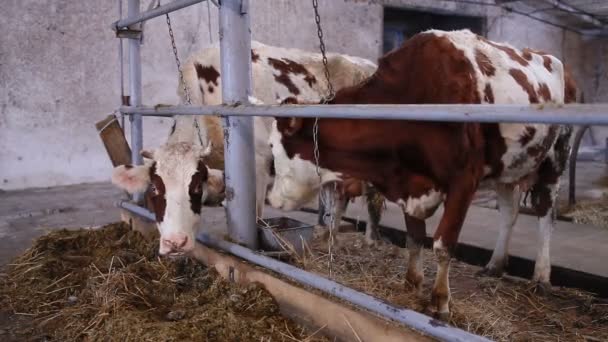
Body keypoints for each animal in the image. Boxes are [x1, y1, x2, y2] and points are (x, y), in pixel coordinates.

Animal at [108, 40, 380, 255]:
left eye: (195, 187)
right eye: (155, 187)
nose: (175, 243)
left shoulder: (258, 161)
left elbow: (256, 215)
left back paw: (369, 239)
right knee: (337, 196)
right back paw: (327, 236)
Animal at [268, 28, 580, 318]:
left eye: (273, 147)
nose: (272, 200)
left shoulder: (464, 179)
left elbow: (443, 243)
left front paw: (440, 300)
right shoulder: (409, 182)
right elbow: (415, 237)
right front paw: (412, 282)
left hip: (555, 157)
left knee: (545, 214)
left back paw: (541, 277)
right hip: (509, 164)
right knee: (509, 212)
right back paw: (495, 265)